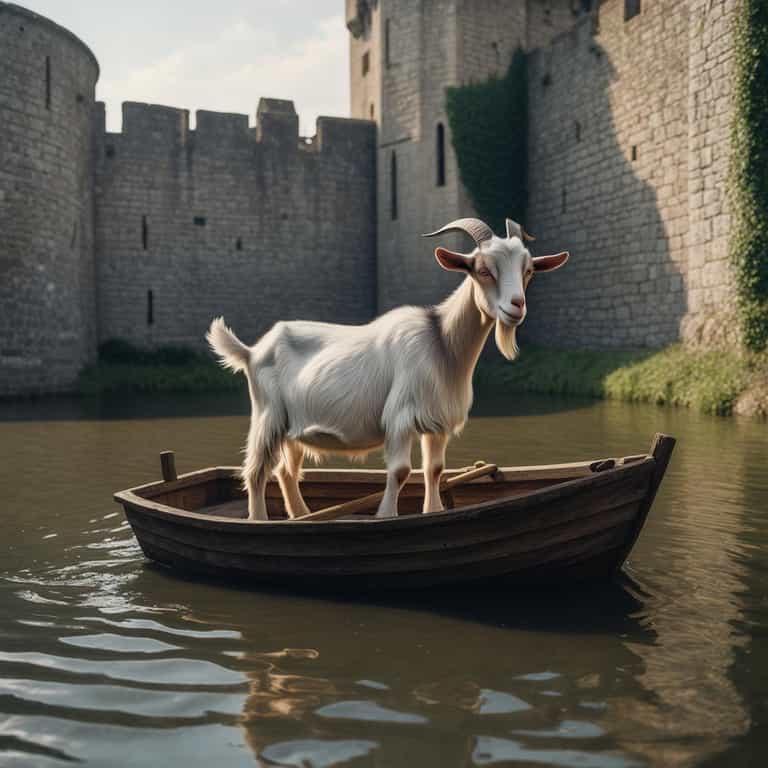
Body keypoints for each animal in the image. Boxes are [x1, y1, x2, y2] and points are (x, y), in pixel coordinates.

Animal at [207, 217, 568, 521]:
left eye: (528, 271)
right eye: (482, 269)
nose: (516, 307)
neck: (443, 344)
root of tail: (252, 351)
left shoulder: (437, 422)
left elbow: (435, 469)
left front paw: (432, 511)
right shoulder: (401, 416)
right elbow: (400, 471)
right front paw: (386, 516)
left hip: (292, 427)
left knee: (286, 471)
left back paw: (301, 516)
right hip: (267, 416)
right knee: (256, 471)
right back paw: (259, 520)